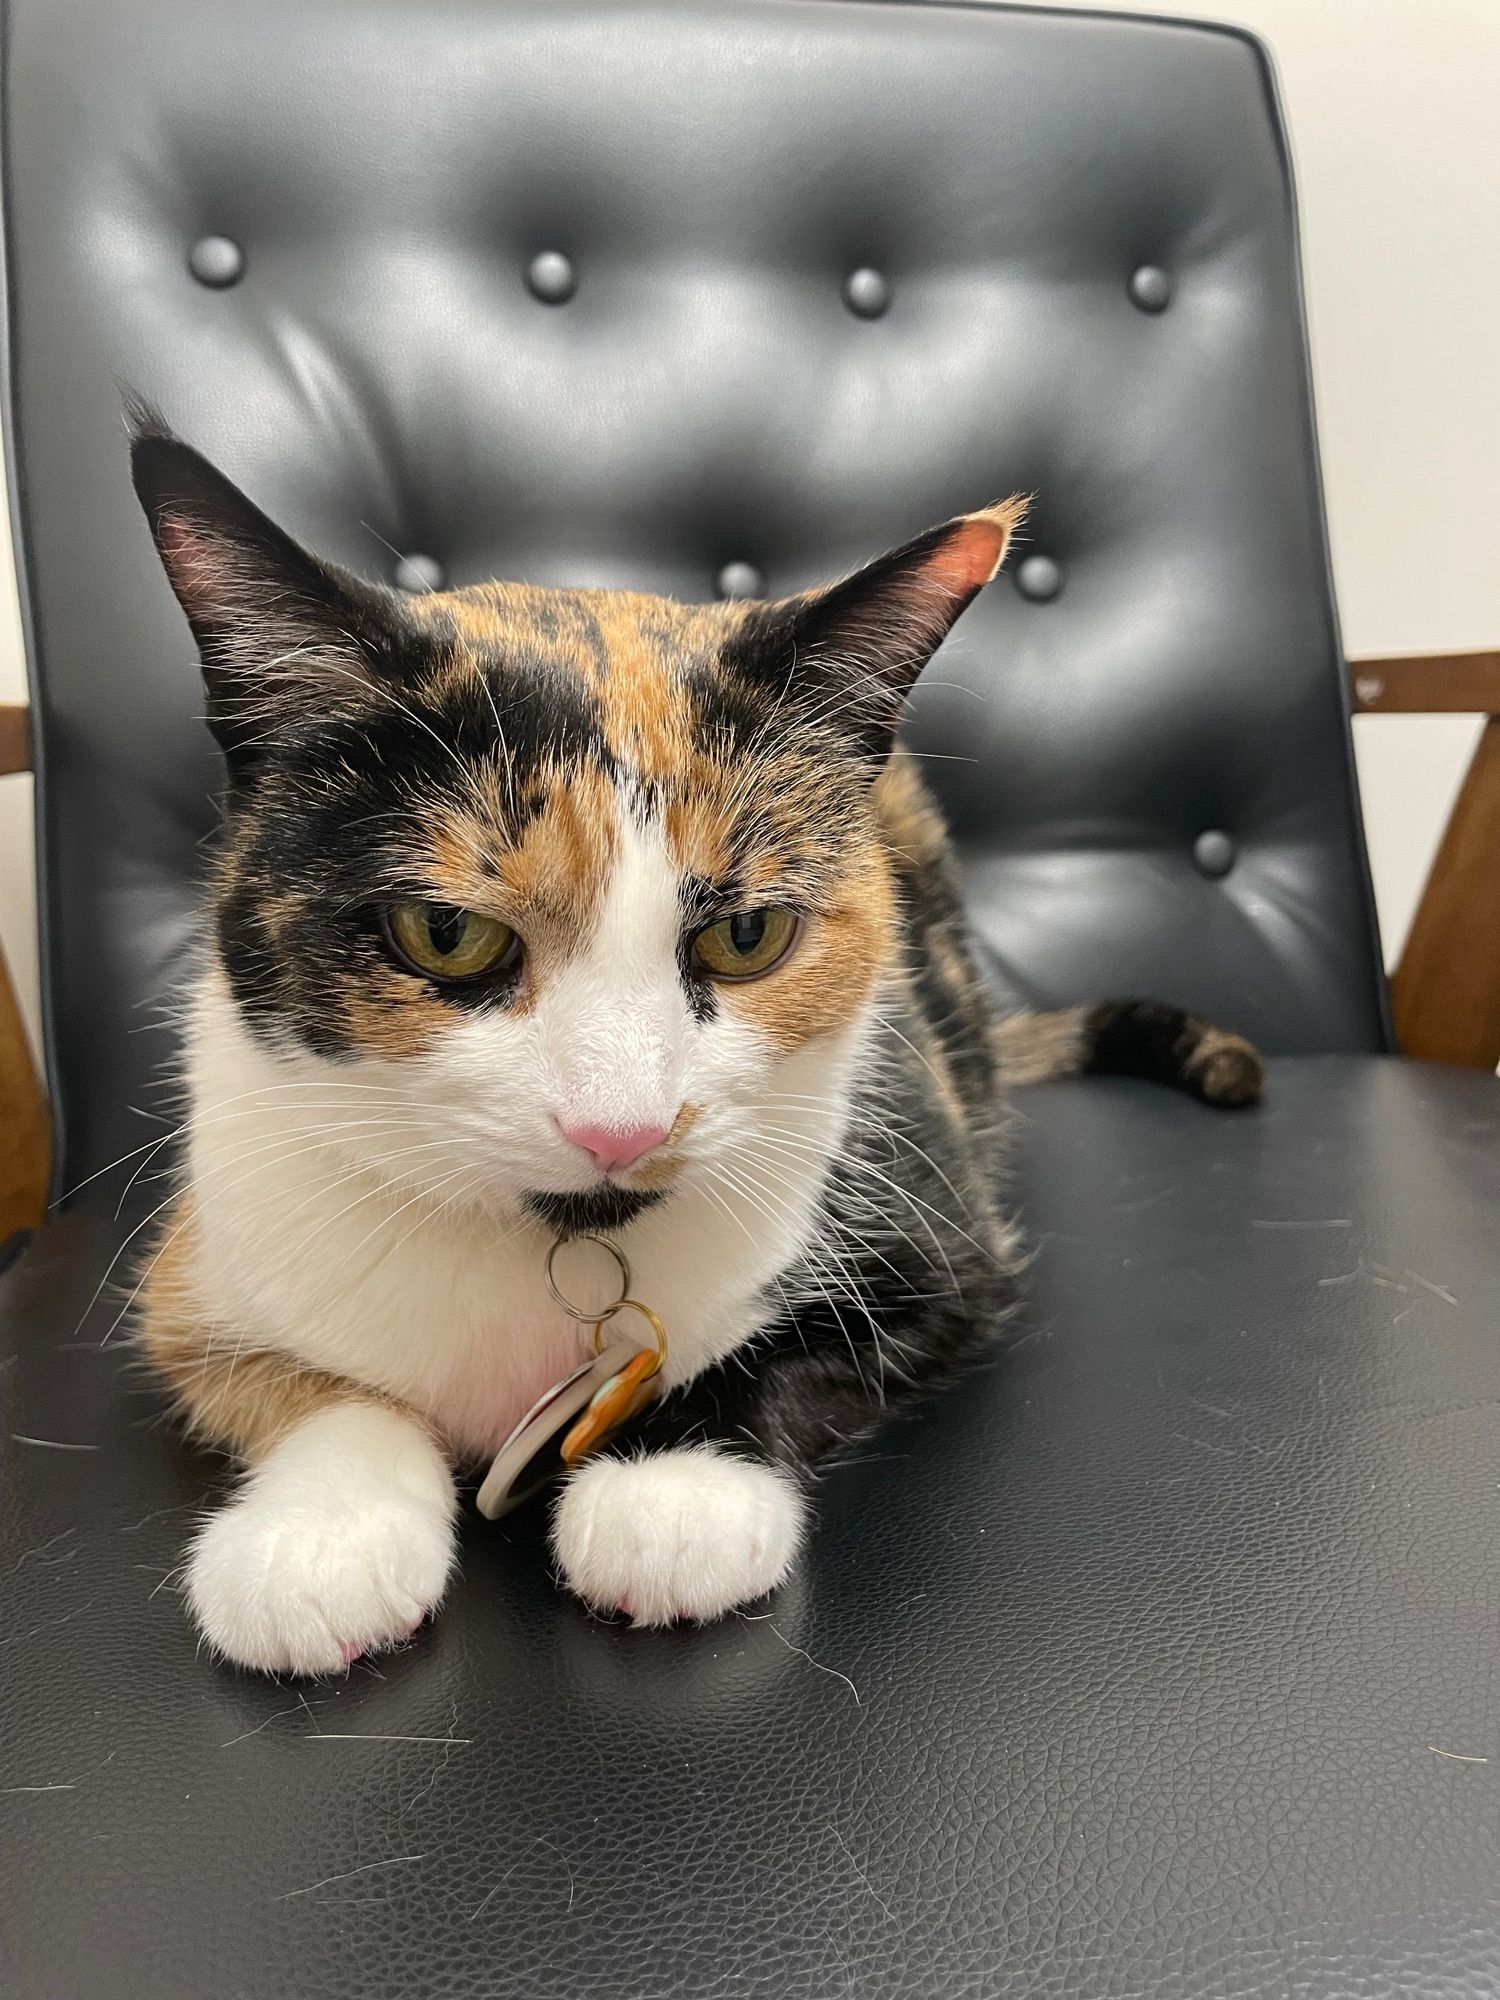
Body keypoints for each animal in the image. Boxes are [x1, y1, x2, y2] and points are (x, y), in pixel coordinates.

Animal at [126, 418, 1256, 1672]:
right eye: (446, 932)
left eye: (746, 933)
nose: (620, 1126)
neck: (562, 1241)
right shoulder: (202, 1257)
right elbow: (309, 1383)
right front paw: (319, 1539)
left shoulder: (944, 1239)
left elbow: (799, 1345)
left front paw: (672, 1489)